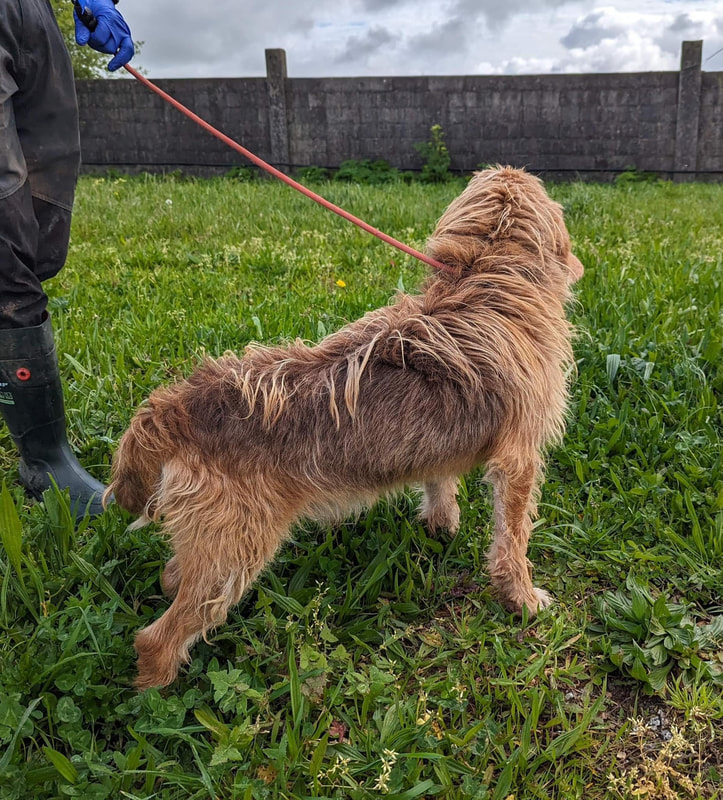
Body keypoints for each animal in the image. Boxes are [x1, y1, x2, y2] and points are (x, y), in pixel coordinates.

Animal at [106, 167, 584, 688]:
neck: (484, 276)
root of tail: (180, 404)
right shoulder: (519, 461)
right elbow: (513, 538)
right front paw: (522, 598)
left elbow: (440, 482)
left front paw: (442, 526)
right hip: (234, 553)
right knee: (156, 639)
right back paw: (157, 694)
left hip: (210, 540)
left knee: (172, 575)